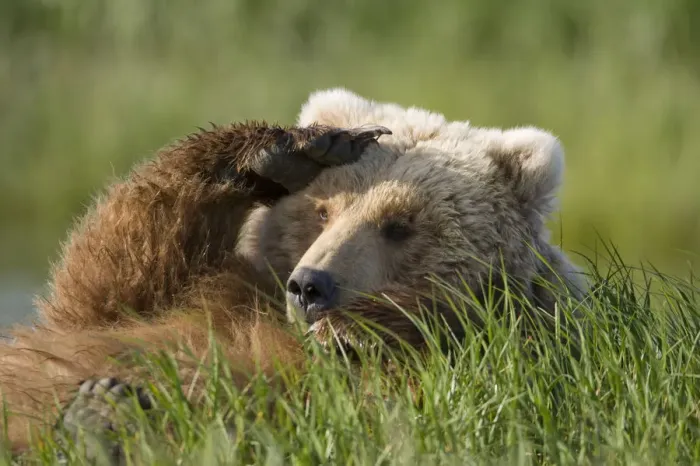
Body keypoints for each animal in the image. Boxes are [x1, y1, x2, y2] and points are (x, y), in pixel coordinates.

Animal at [0, 88, 587, 459]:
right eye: (323, 211)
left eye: (399, 225)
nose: (309, 286)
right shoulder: (204, 289)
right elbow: (108, 274)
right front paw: (296, 149)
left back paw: (98, 416)